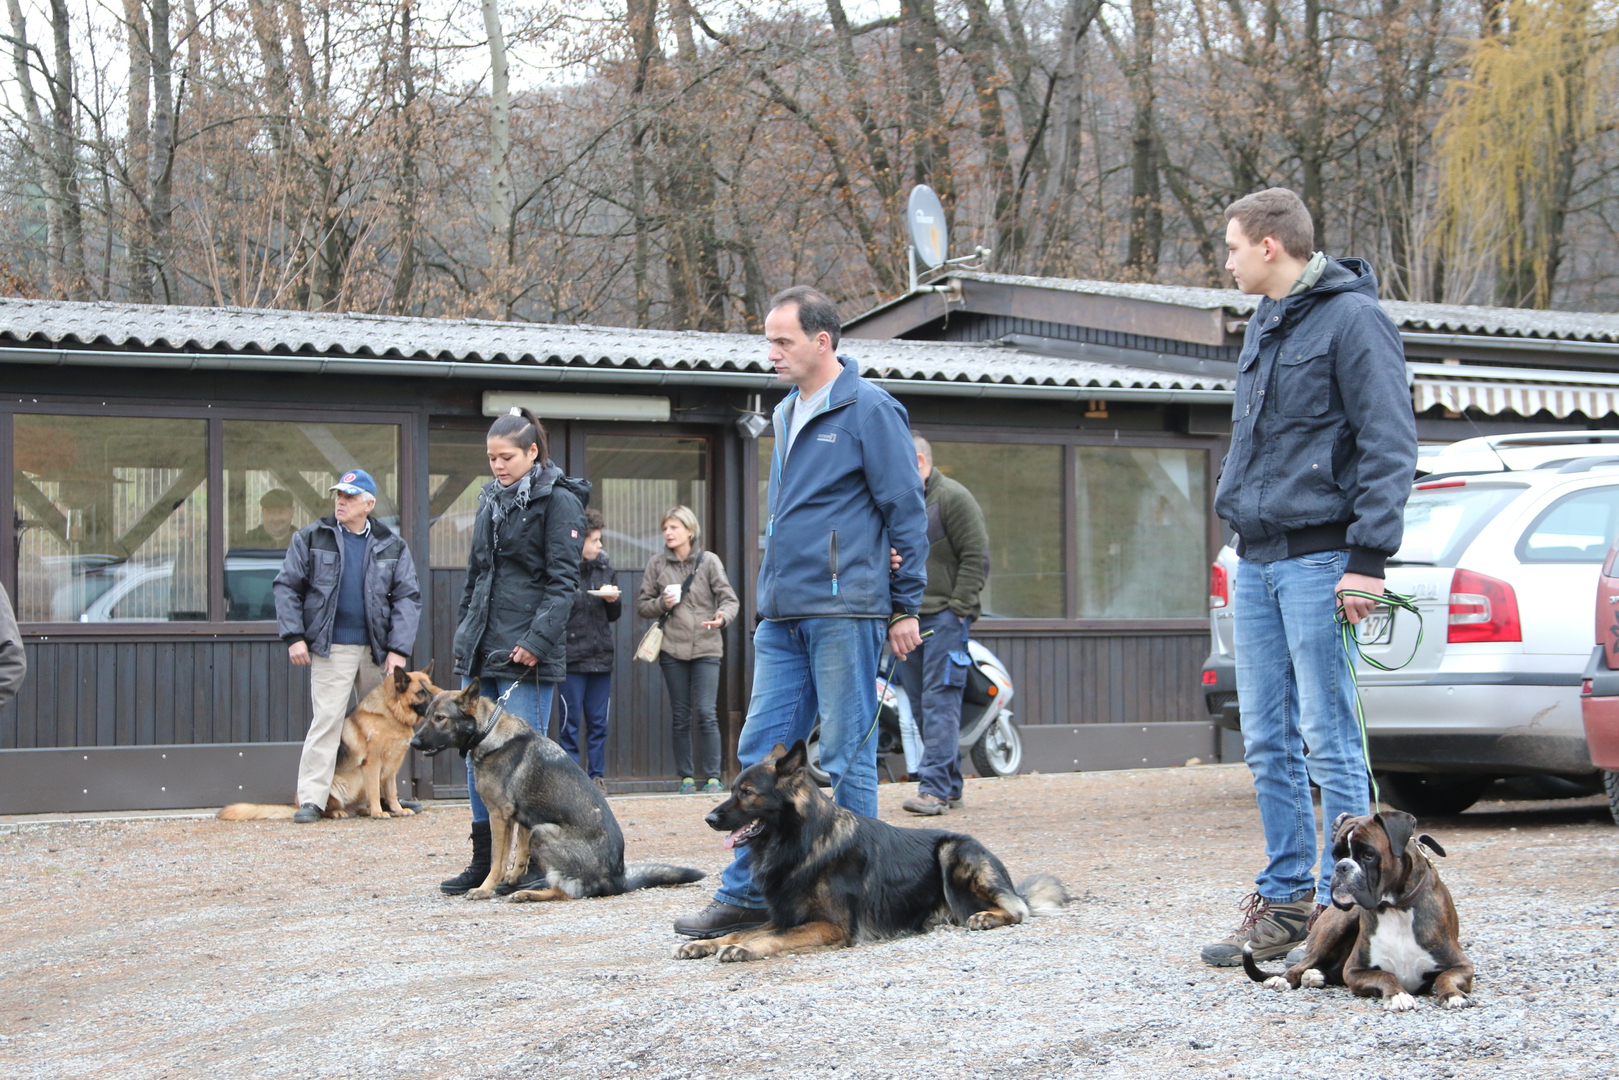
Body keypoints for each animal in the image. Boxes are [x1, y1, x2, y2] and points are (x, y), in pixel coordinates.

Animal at [219, 665, 441, 822]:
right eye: (421, 692)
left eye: (431, 687)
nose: (440, 699)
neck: (391, 714)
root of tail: (297, 805)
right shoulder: (373, 764)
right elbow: (374, 790)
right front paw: (379, 812)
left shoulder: (391, 769)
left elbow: (391, 792)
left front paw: (397, 809)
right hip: (335, 787)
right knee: (326, 809)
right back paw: (335, 813)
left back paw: (362, 810)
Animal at [409, 679, 704, 901]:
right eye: (426, 716)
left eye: (440, 718)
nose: (413, 742)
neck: (489, 731)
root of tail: (617, 880)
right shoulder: (524, 817)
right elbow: (519, 852)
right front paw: (513, 876)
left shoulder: (499, 815)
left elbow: (497, 858)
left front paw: (485, 888)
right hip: (539, 829)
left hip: (543, 832)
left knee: (568, 893)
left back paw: (529, 894)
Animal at [674, 740, 1069, 963]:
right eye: (733, 790)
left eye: (747, 793)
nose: (709, 818)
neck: (804, 842)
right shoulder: (787, 915)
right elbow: (743, 930)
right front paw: (708, 944)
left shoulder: (829, 925)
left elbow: (770, 937)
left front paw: (743, 950)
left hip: (955, 850)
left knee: (1017, 909)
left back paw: (986, 916)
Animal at [1243, 810, 1474, 1012]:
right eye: (1336, 855)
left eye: (1368, 855)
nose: (1342, 867)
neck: (1396, 909)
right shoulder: (1354, 972)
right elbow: (1385, 976)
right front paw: (1397, 995)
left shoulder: (1463, 966)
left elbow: (1445, 977)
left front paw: (1452, 995)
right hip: (1336, 926)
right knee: (1303, 963)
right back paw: (1285, 979)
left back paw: (1315, 976)